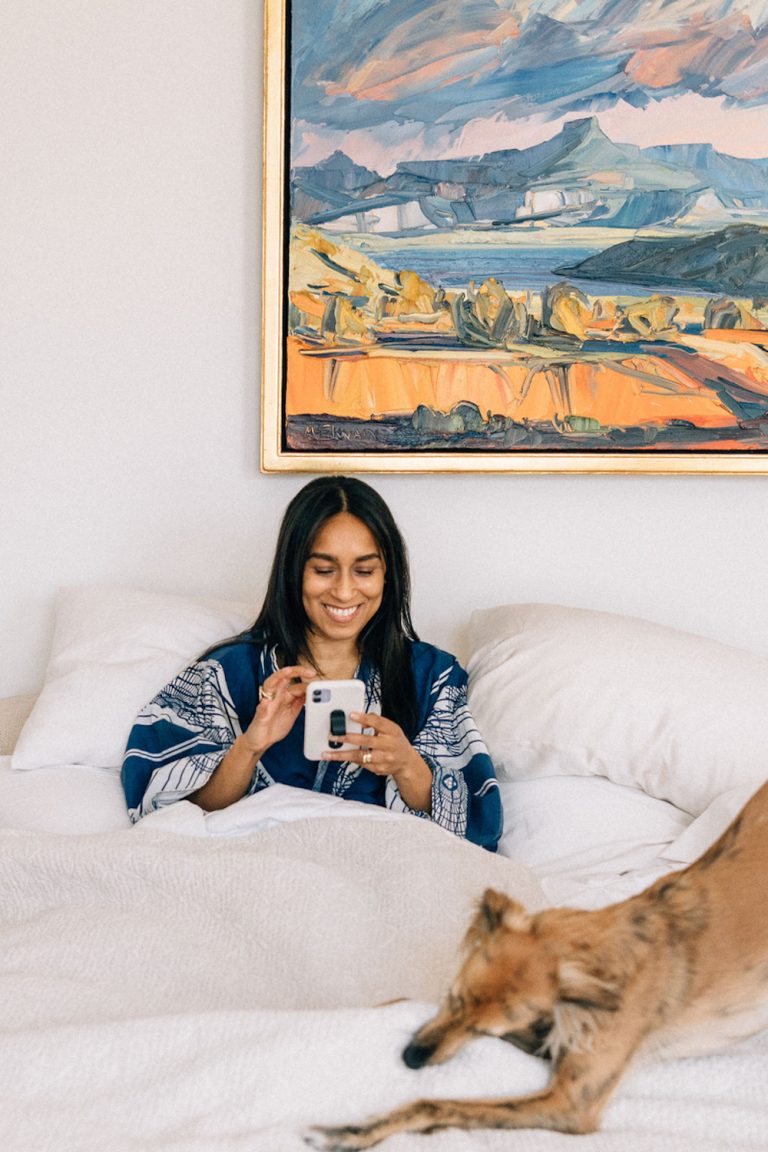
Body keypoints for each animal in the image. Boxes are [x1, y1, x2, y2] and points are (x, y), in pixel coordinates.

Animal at [308, 778, 768, 1147]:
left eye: (484, 1031)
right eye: (452, 998)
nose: (410, 1059)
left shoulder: (571, 1102)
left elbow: (436, 1104)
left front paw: (352, 1132)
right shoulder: (545, 1034)